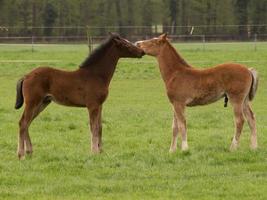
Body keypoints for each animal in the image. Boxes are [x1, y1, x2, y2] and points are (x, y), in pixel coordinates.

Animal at [15, 33, 144, 159]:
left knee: (27, 123)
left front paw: (101, 151)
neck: (96, 75)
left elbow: (100, 127)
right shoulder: (92, 106)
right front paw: (94, 152)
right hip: (32, 102)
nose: (142, 52)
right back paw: (21, 154)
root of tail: (26, 76)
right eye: (126, 44)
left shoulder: (100, 105)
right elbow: (93, 127)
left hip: (43, 102)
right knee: (23, 123)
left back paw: (29, 151)